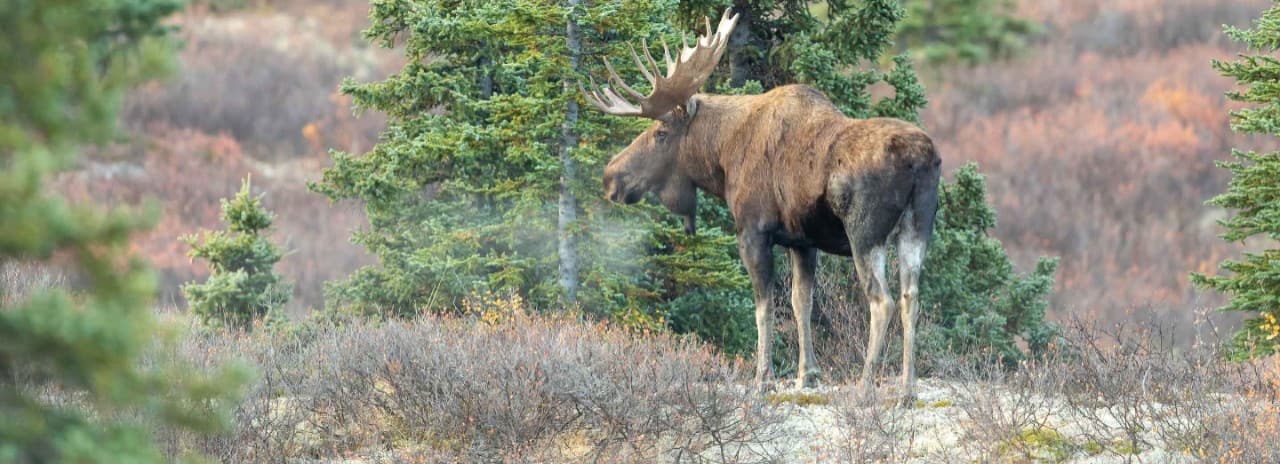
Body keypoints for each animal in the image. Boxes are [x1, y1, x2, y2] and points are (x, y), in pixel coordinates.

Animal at [580, 9, 941, 402]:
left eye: (660, 134)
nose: (611, 177)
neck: (723, 157)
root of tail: (921, 158)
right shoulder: (803, 242)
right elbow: (801, 303)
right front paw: (806, 374)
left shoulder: (753, 231)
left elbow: (763, 307)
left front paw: (762, 377)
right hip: (917, 227)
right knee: (911, 296)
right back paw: (907, 388)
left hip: (865, 232)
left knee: (882, 300)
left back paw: (865, 383)